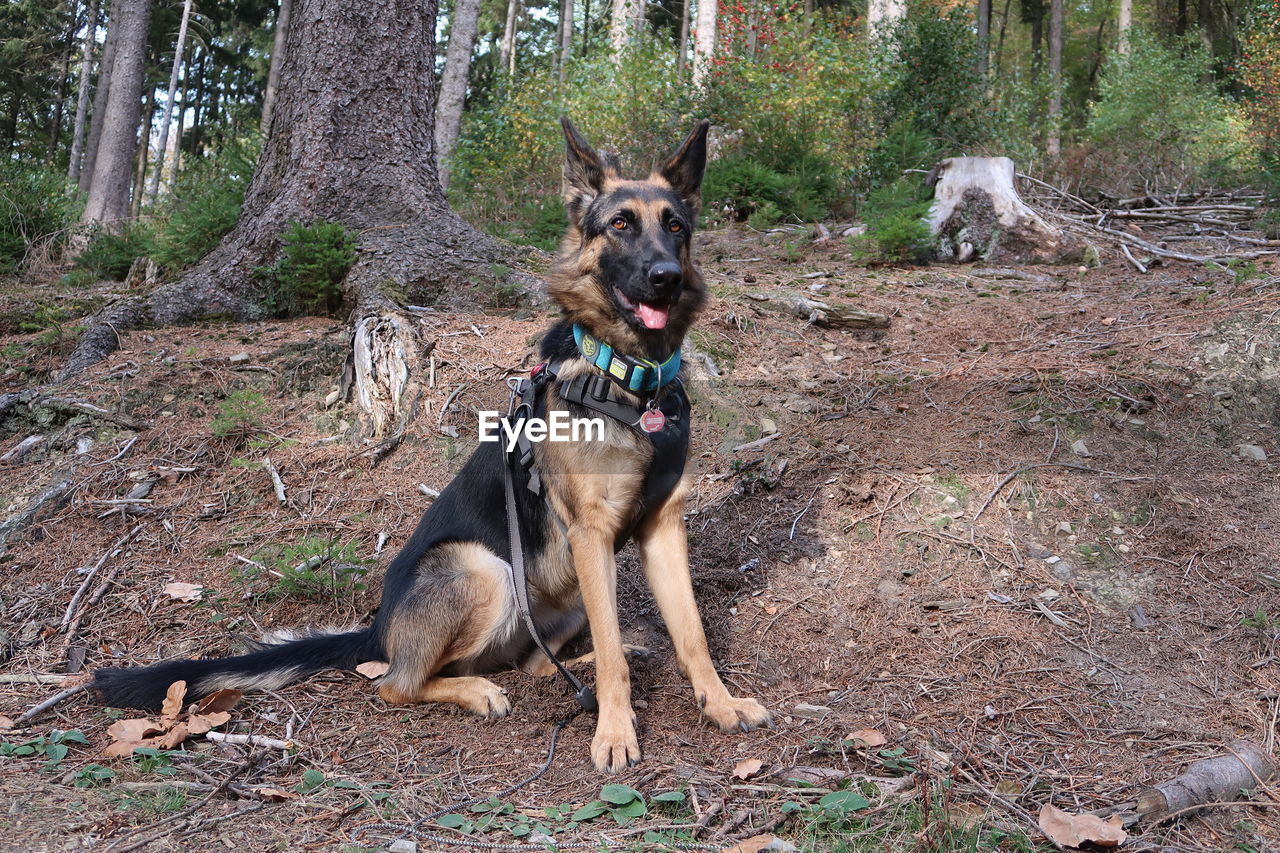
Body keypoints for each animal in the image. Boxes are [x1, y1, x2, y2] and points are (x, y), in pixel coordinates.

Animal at [92, 117, 768, 768]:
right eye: (621, 224)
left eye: (675, 226)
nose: (666, 278)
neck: (630, 380)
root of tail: (379, 627)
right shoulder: (591, 534)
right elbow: (613, 662)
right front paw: (614, 731)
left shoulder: (661, 526)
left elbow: (691, 634)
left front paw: (720, 702)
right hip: (486, 568)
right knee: (395, 683)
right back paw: (475, 691)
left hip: (563, 590)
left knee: (531, 660)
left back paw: (572, 665)